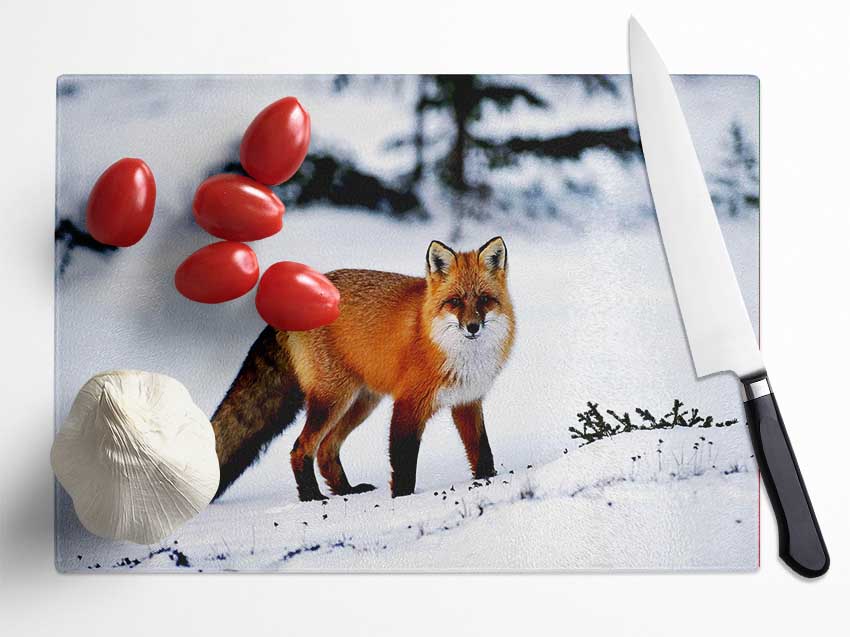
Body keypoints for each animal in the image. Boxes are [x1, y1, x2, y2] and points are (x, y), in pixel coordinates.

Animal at [211, 236, 515, 501]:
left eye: (484, 299)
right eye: (455, 302)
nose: (473, 327)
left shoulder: (467, 401)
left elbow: (482, 451)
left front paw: (488, 480)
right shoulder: (408, 404)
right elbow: (403, 462)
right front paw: (403, 501)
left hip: (361, 402)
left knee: (326, 449)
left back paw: (346, 491)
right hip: (332, 400)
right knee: (301, 448)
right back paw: (312, 498)